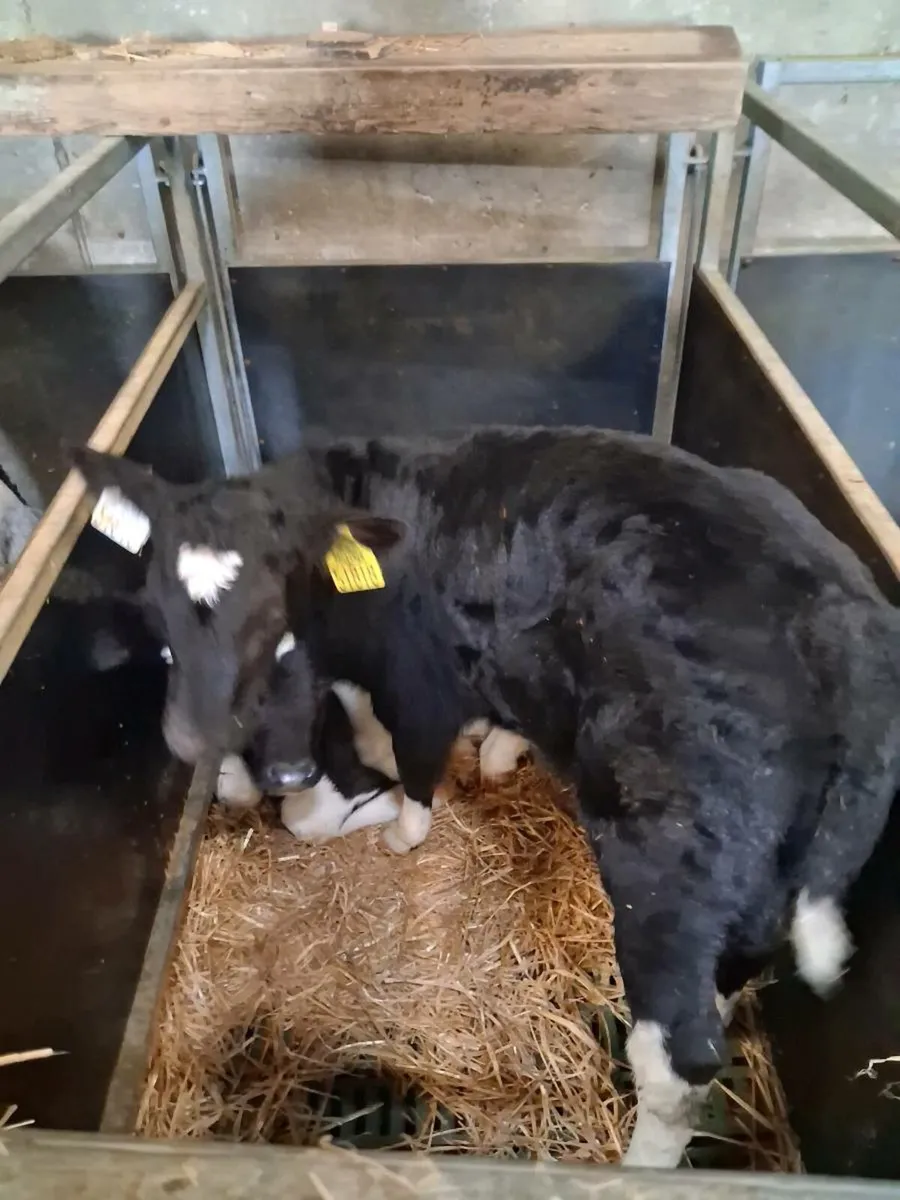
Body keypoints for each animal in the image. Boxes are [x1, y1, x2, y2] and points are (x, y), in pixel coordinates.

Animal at [73, 426, 900, 1169]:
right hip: (762, 881)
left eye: (273, 603)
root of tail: (844, 628)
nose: (191, 736)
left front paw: (401, 827)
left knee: (676, 1062)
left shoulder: (419, 680)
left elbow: (408, 767)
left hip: (670, 875)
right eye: (157, 602)